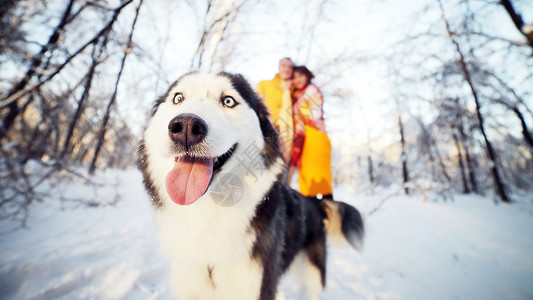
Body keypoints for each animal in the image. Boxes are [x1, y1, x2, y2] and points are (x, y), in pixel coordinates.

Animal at [137, 71, 364, 298]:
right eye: (178, 98)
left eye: (229, 101)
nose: (185, 127)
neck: (208, 213)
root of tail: (313, 201)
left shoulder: (258, 284)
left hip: (314, 272)